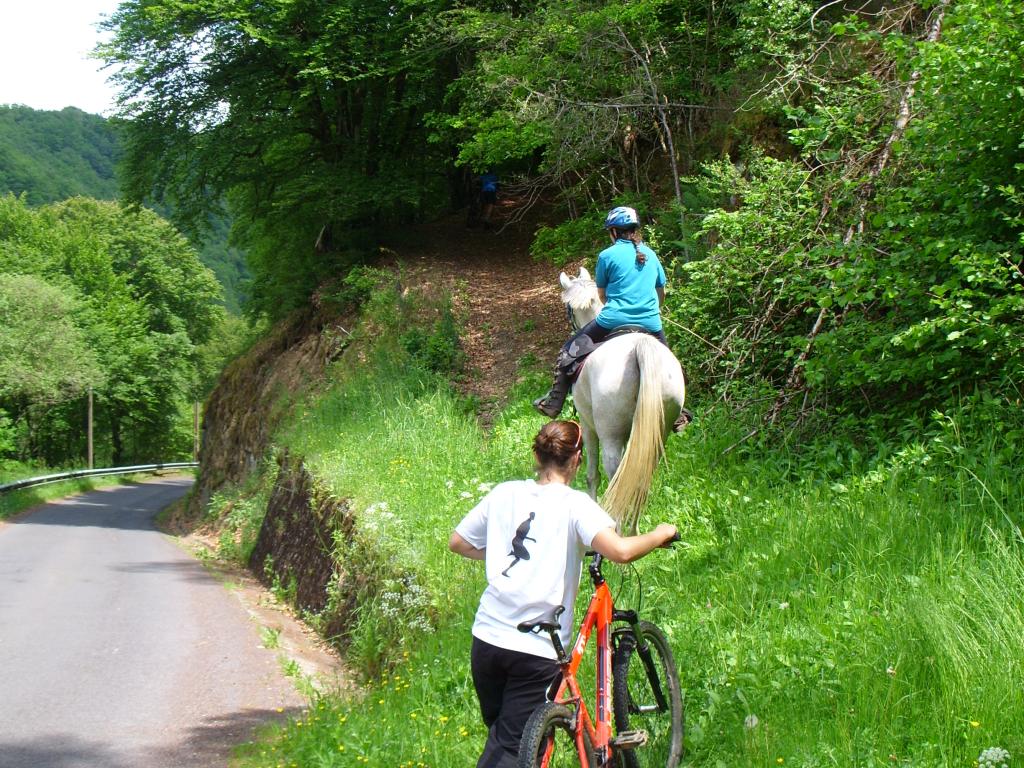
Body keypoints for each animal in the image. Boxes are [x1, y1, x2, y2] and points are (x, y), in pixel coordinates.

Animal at [561, 268, 688, 532]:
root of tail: (639, 347)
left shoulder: (588, 427)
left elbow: (592, 475)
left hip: (610, 436)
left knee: (614, 478)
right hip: (657, 432)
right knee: (641, 479)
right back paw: (634, 531)